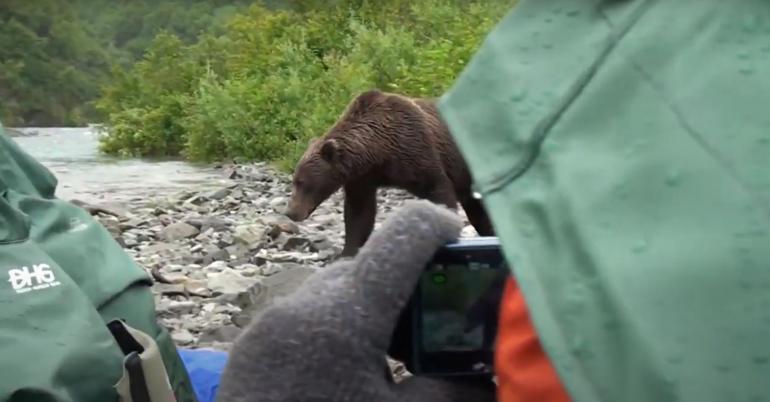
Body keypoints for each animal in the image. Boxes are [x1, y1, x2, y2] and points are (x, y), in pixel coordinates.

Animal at [284, 89, 495, 257]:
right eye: (295, 181)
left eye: (302, 182)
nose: (290, 212)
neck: (379, 152)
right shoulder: (361, 179)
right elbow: (358, 214)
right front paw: (347, 252)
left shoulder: (417, 150)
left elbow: (438, 189)